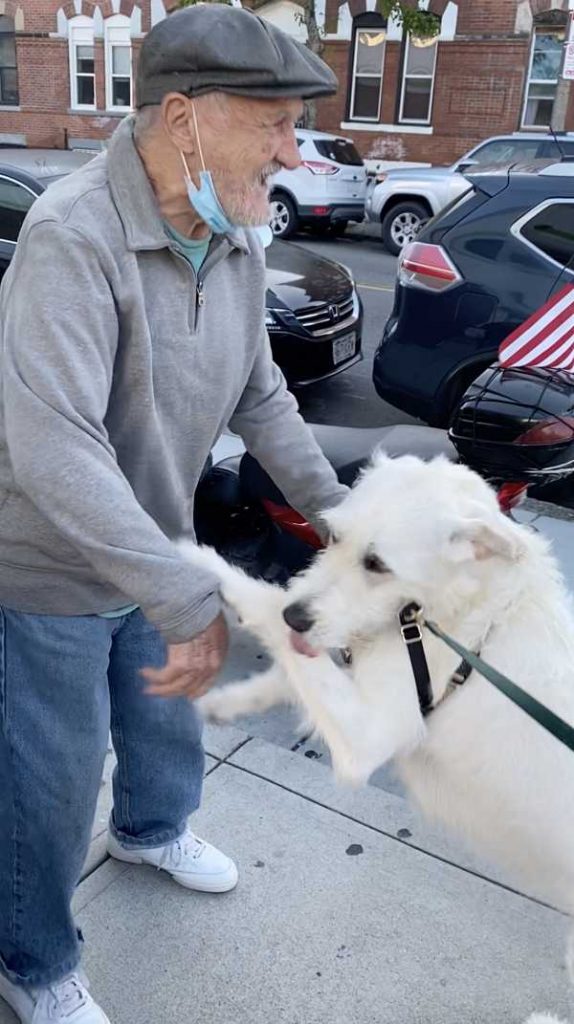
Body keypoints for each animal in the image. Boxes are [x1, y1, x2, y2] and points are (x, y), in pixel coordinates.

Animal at [181, 456, 572, 1024]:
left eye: (377, 564)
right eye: (334, 537)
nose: (296, 616)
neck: (451, 609)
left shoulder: (369, 730)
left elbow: (276, 619)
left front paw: (203, 561)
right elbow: (301, 669)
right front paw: (227, 703)